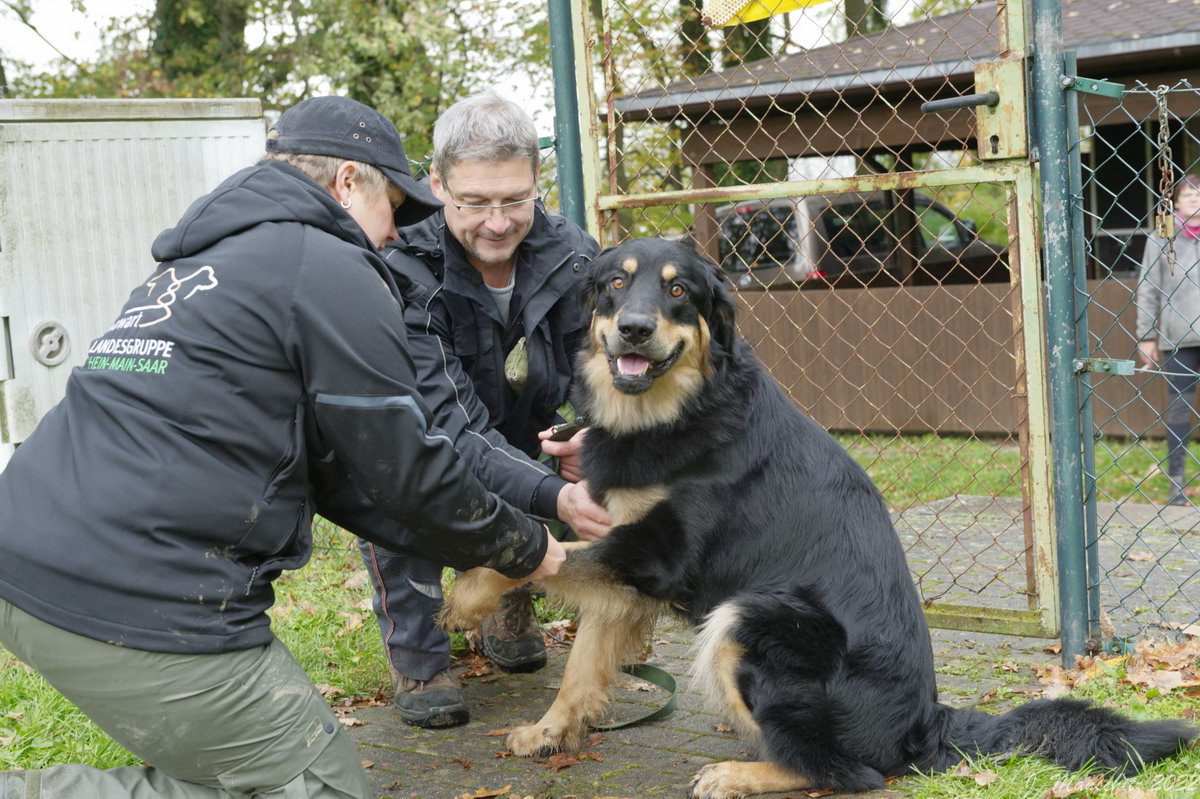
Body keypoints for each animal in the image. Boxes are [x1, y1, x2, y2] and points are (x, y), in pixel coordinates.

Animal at [439, 236, 1190, 796]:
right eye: (616, 286)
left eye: (679, 292)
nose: (634, 329)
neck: (676, 410)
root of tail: (927, 725)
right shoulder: (624, 563)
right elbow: (582, 664)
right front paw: (550, 731)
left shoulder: (653, 553)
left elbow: (539, 559)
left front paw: (467, 597)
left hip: (747, 618)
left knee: (851, 773)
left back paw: (737, 772)